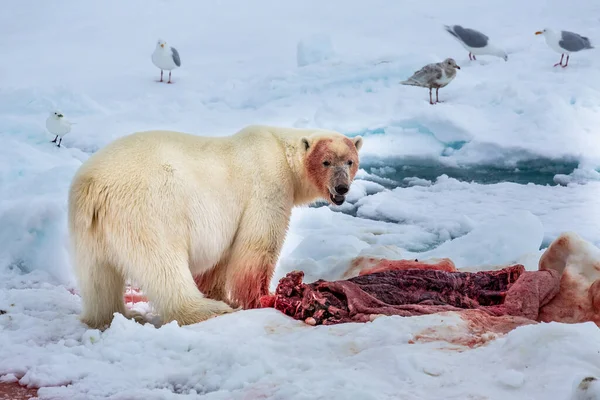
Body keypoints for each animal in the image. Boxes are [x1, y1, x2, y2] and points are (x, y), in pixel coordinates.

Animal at [68, 125, 364, 328]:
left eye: (349, 161)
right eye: (326, 161)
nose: (342, 188)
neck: (281, 151)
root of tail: (94, 185)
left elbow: (218, 261)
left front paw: (221, 293)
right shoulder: (269, 187)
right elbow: (257, 247)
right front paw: (264, 299)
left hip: (88, 228)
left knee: (98, 278)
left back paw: (112, 316)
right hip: (150, 211)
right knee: (163, 265)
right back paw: (208, 310)